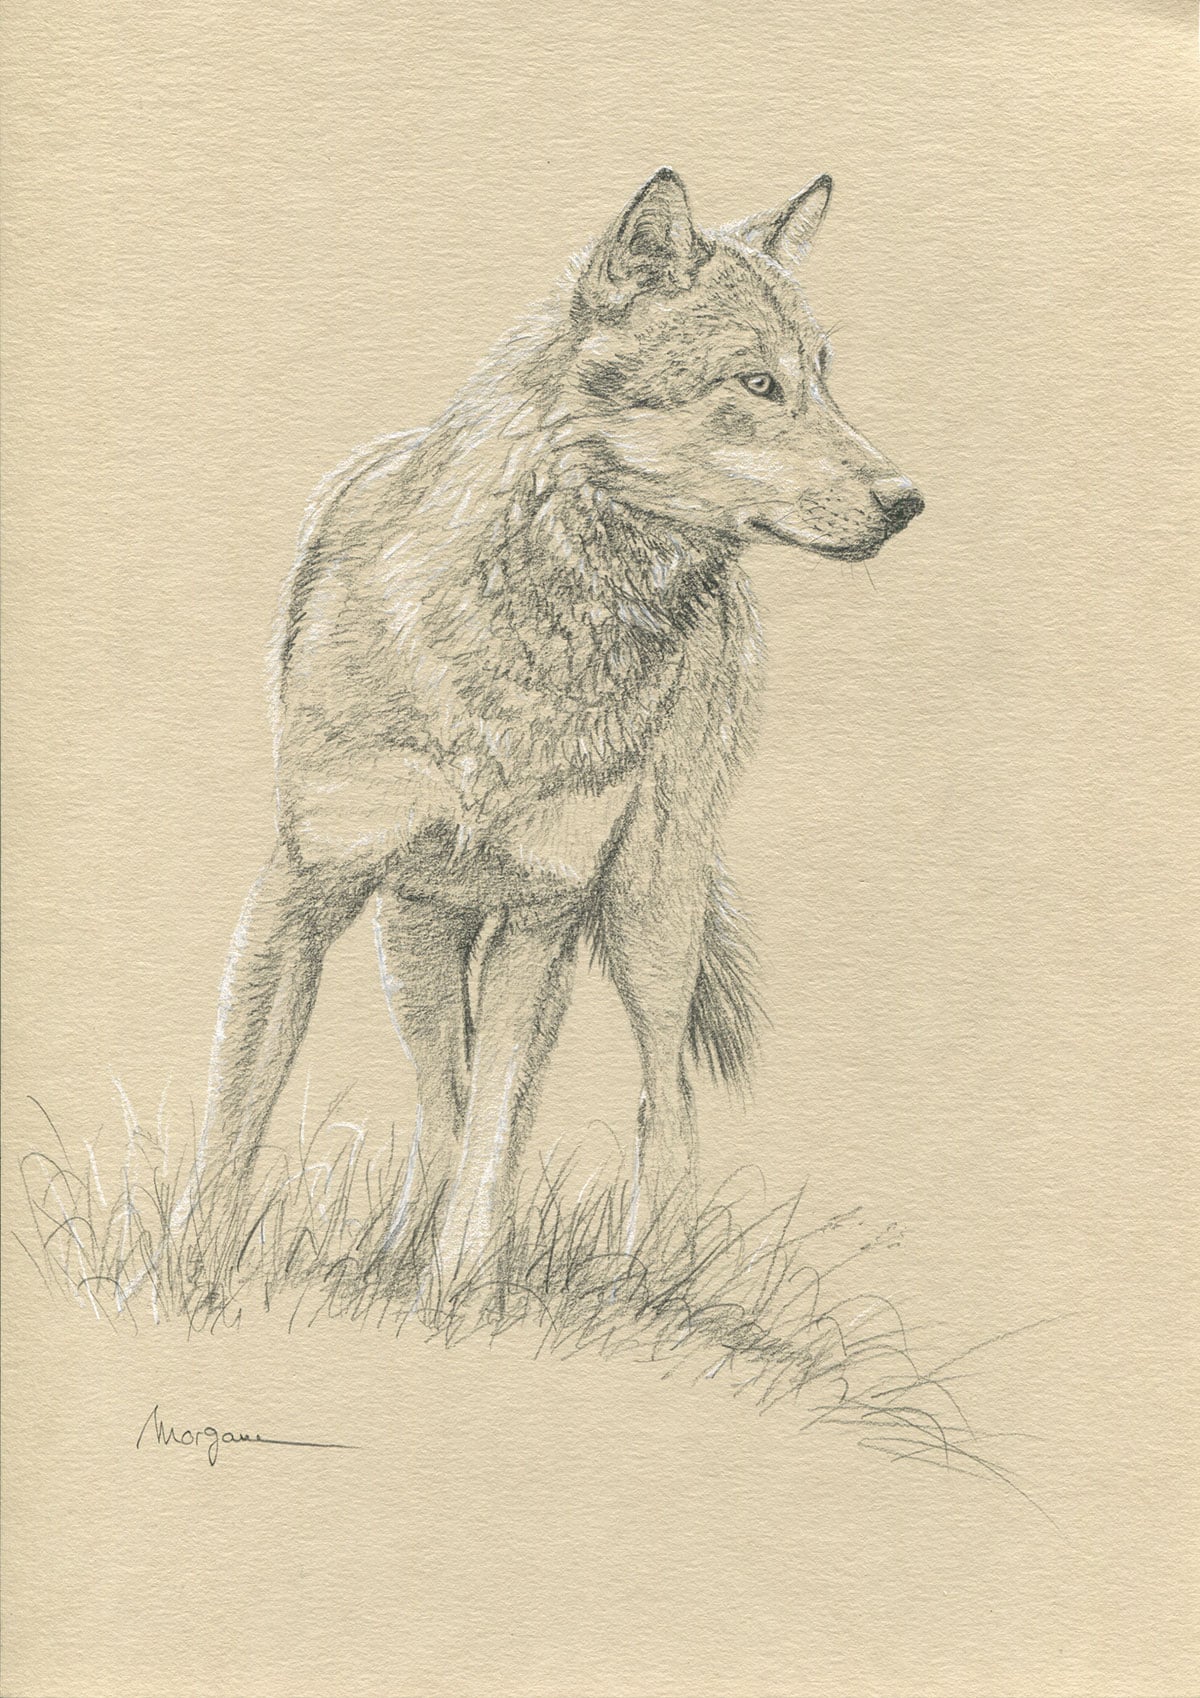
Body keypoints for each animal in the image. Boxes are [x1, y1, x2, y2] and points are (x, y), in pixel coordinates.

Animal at [193, 168, 923, 1282]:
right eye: (758, 385)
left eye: (824, 381)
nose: (907, 499)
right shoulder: (305, 887)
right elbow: (236, 1121)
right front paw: (183, 1283)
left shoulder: (543, 915)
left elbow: (502, 1137)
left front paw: (460, 1301)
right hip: (415, 937)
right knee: (442, 1097)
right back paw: (387, 1267)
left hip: (645, 911)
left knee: (661, 1102)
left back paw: (648, 1286)